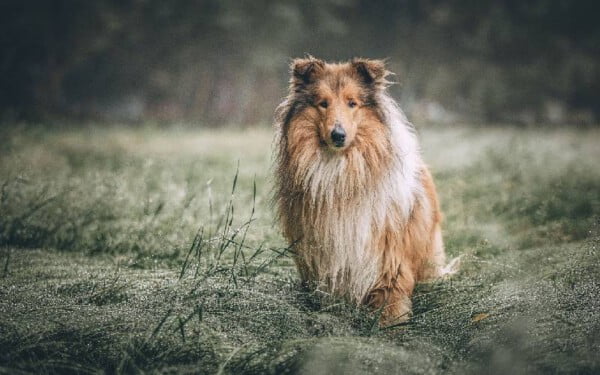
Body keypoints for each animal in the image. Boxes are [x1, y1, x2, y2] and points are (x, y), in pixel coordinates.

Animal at [274, 57, 458, 324]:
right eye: (323, 103)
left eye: (352, 103)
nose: (338, 135)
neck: (340, 172)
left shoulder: (388, 259)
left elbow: (389, 300)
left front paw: (390, 325)